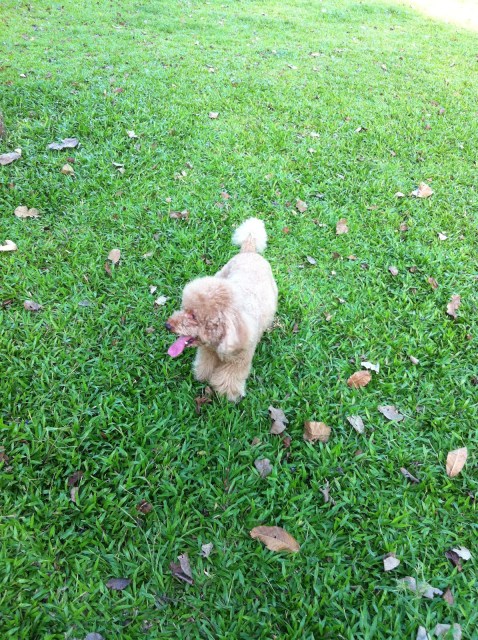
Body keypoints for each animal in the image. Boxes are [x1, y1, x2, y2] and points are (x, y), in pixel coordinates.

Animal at [166, 218, 278, 401]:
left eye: (194, 316)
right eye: (184, 308)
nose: (167, 325)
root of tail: (250, 250)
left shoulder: (239, 361)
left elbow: (229, 377)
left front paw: (228, 394)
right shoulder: (207, 350)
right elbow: (205, 364)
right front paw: (202, 376)